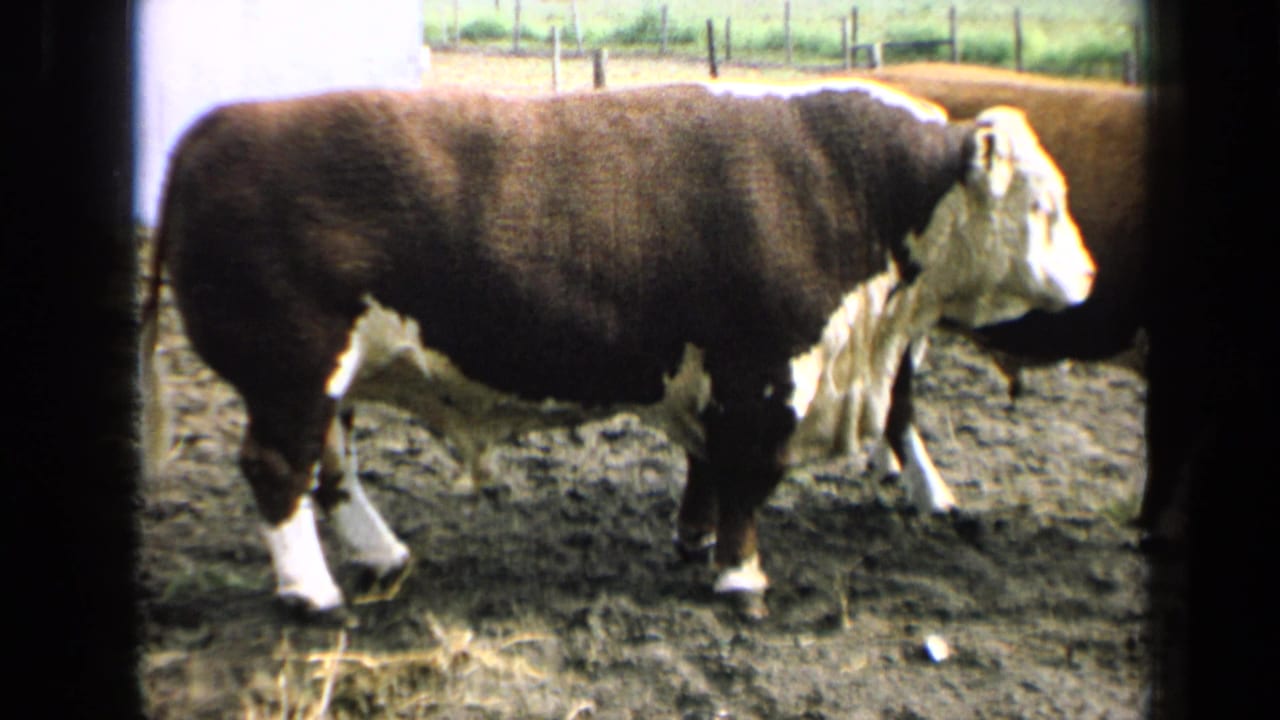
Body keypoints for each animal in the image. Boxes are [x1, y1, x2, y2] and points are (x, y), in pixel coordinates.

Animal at [139, 79, 1095, 620]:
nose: (1089, 276)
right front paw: (741, 578)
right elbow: (750, 479)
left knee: (329, 469)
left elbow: (708, 470)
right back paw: (315, 595)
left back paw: (381, 555)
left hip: (322, 378)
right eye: (1043, 205)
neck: (849, 183)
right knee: (279, 471)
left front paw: (696, 543)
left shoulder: (716, 376)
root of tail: (216, 127)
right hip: (291, 371)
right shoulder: (764, 373)